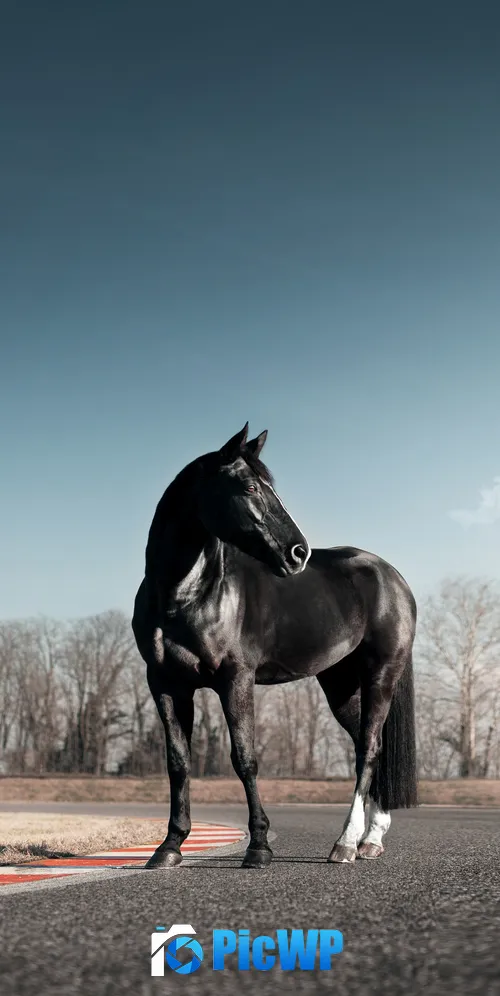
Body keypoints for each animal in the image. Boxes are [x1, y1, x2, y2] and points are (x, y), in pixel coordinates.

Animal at [132, 423, 417, 869]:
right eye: (250, 487)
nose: (298, 553)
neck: (186, 594)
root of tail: (392, 576)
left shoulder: (236, 679)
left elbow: (244, 759)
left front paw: (259, 846)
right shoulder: (164, 683)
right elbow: (177, 762)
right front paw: (170, 846)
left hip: (381, 675)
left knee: (369, 749)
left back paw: (346, 843)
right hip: (340, 685)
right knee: (368, 747)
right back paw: (371, 839)